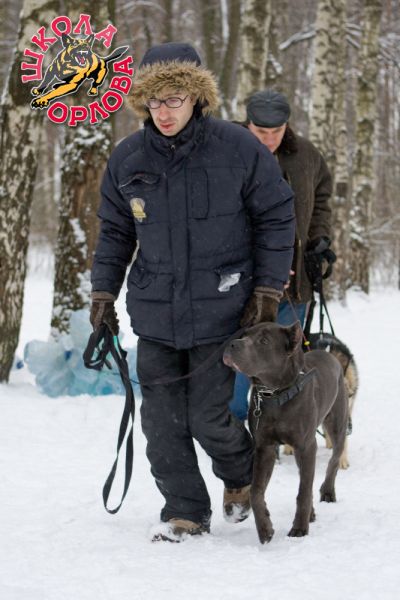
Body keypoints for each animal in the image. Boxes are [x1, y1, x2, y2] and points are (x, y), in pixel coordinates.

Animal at [223, 321, 348, 544]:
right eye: (245, 334)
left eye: (264, 341)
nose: (232, 344)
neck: (275, 394)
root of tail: (329, 355)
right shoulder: (264, 448)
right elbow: (256, 491)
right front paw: (265, 529)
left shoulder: (306, 446)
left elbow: (303, 491)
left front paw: (299, 528)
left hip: (337, 424)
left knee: (333, 461)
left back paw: (327, 492)